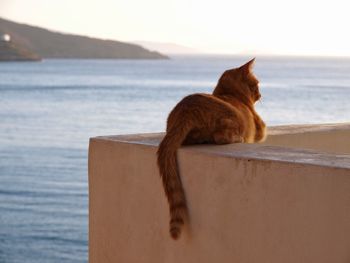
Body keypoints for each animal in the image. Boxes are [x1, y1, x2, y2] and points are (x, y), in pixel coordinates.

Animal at [156, 58, 266, 240]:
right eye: (256, 84)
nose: (260, 94)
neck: (232, 95)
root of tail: (186, 109)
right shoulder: (260, 132)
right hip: (231, 119)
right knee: (221, 137)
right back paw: (236, 138)